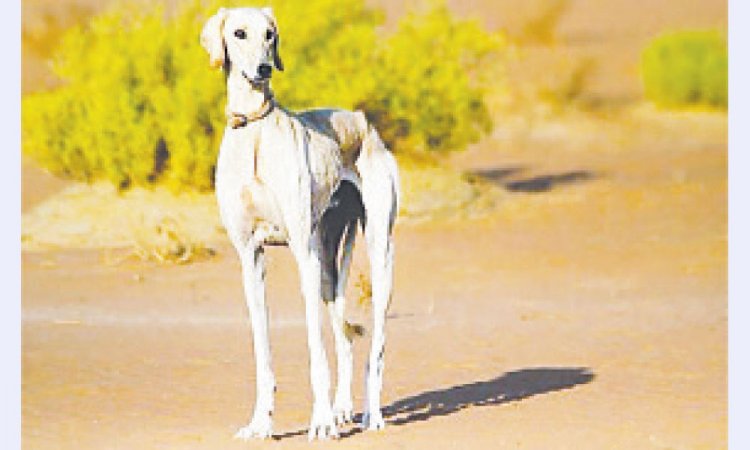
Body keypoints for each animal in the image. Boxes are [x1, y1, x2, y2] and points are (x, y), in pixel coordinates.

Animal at [200, 5, 400, 442]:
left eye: (270, 35)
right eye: (238, 33)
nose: (262, 69)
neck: (254, 130)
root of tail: (362, 120)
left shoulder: (302, 256)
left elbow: (315, 350)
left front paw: (320, 422)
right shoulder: (250, 259)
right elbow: (263, 351)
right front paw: (261, 422)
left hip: (377, 254)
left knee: (374, 347)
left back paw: (371, 414)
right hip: (328, 263)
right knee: (345, 337)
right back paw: (343, 409)